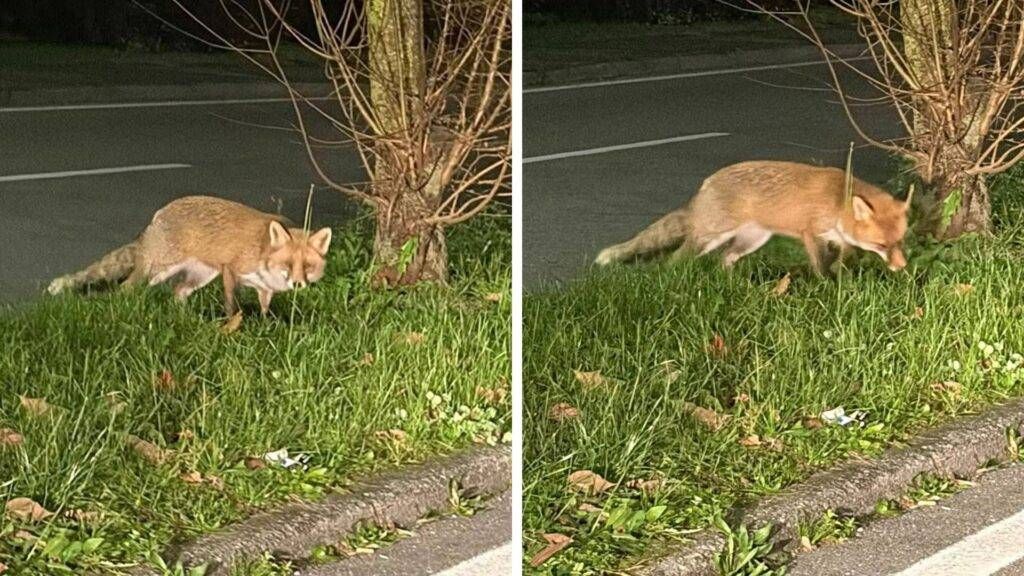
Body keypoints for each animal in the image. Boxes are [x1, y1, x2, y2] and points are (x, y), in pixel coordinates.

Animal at [47, 196, 333, 316]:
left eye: (307, 266)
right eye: (288, 264)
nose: (297, 283)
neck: (263, 252)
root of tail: (157, 217)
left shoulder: (264, 289)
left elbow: (264, 309)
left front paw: (265, 324)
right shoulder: (230, 269)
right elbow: (231, 305)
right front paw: (230, 325)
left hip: (200, 276)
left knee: (178, 291)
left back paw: (185, 317)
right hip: (156, 271)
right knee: (126, 287)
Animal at [594, 160, 910, 274]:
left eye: (900, 242)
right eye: (882, 246)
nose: (902, 267)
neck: (836, 201)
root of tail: (704, 186)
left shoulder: (839, 237)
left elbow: (847, 255)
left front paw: (843, 273)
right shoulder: (809, 232)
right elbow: (820, 265)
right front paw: (826, 283)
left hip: (753, 240)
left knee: (725, 259)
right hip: (709, 238)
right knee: (676, 259)